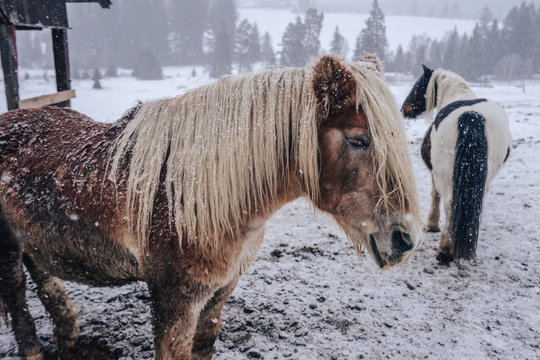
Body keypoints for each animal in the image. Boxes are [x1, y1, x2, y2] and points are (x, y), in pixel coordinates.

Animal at [0, 54, 422, 358]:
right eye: (358, 140)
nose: (404, 239)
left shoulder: (221, 289)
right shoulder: (174, 299)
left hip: (36, 238)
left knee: (43, 274)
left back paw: (68, 333)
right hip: (8, 248)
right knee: (18, 299)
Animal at [402, 64, 512, 262]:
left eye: (418, 86)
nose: (404, 109)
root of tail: (472, 116)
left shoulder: (434, 174)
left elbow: (434, 195)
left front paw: (431, 225)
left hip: (445, 177)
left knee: (449, 204)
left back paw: (445, 250)